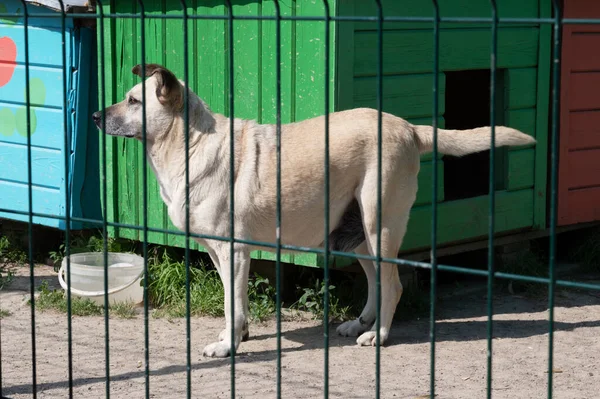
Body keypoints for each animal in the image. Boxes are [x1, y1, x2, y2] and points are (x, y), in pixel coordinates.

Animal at [92, 64, 536, 358]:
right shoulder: (220, 254)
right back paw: (360, 323)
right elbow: (233, 302)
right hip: (358, 238)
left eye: (133, 101)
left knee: (393, 285)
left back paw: (379, 336)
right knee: (375, 283)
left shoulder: (234, 252)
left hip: (379, 226)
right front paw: (236, 334)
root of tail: (410, 128)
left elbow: (232, 302)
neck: (188, 143)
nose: (96, 115)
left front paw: (229, 346)